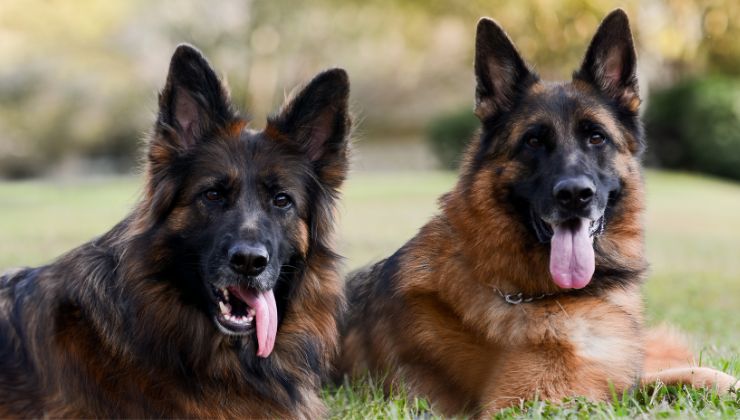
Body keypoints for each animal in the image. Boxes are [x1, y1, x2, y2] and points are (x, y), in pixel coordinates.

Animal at [340, 10, 736, 416]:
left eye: (596, 137)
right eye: (533, 141)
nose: (575, 195)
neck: (541, 294)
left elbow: (687, 375)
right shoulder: (529, 403)